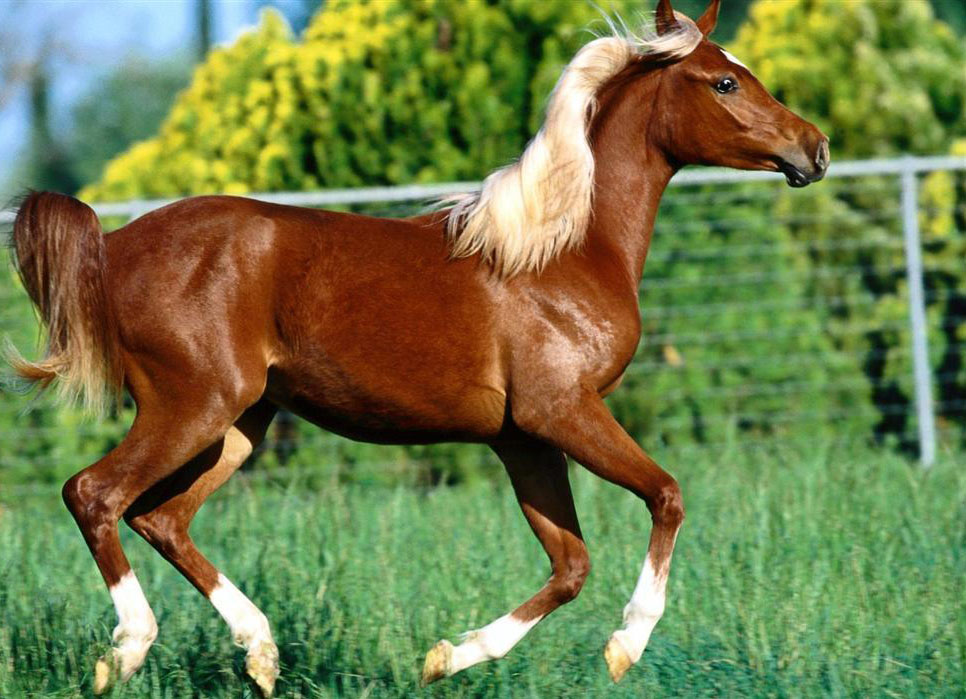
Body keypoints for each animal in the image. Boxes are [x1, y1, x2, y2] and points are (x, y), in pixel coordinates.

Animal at [6, 0, 828, 695]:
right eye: (724, 80)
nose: (814, 149)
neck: (561, 250)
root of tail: (112, 246)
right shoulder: (563, 411)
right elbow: (666, 495)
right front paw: (625, 645)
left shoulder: (523, 438)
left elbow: (570, 565)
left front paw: (445, 656)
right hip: (194, 405)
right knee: (95, 493)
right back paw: (127, 650)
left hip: (240, 425)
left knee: (162, 518)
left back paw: (262, 652)